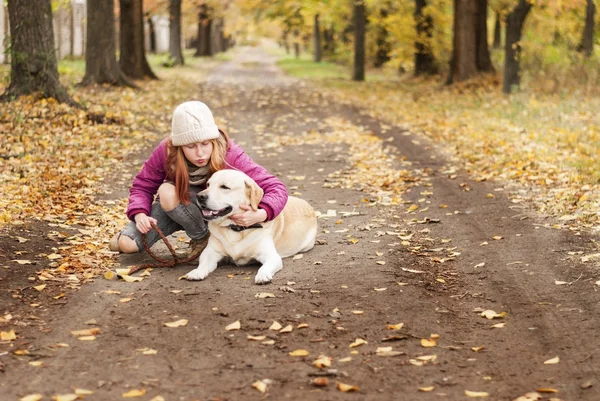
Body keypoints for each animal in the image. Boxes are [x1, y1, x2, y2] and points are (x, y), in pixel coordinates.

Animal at [185, 167, 318, 282]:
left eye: (224, 187)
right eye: (208, 185)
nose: (200, 196)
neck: (235, 228)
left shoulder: (271, 256)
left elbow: (265, 266)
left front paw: (263, 275)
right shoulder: (210, 252)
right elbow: (203, 263)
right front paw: (197, 271)